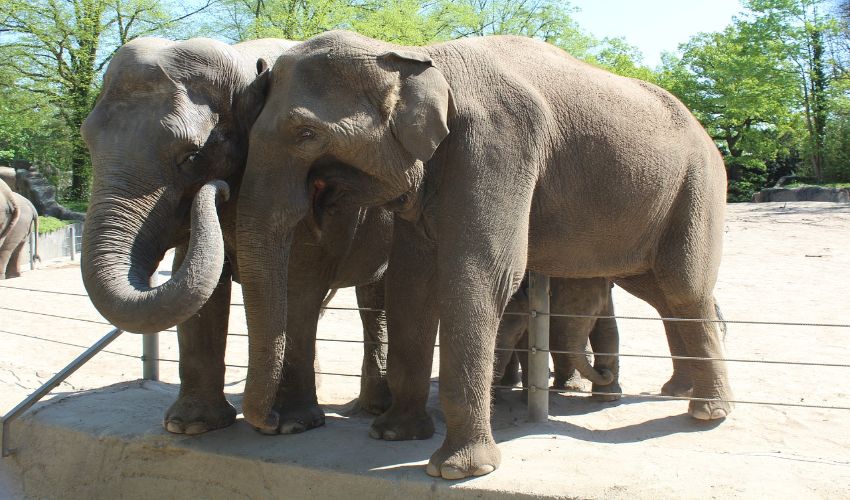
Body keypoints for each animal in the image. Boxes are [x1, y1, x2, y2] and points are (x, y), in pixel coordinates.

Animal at [79, 35, 394, 436]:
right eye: (87, 142)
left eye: (192, 157)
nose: (221, 190)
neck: (244, 60)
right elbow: (201, 288)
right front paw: (190, 426)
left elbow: (298, 285)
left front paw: (290, 424)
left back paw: (370, 410)